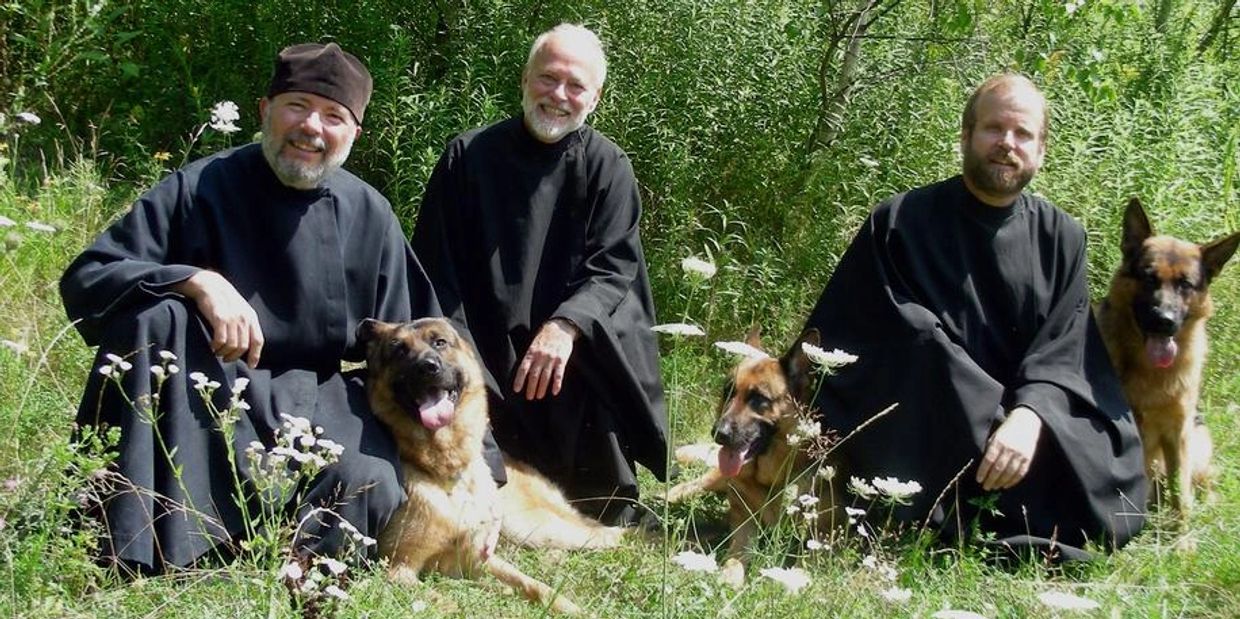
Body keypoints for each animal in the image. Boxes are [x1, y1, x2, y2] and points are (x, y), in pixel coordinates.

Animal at [359, 320, 629, 615]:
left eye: (440, 342)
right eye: (399, 350)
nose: (427, 367)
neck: (446, 471)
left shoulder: (478, 557)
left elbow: (535, 585)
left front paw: (571, 608)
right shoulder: (397, 569)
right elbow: (444, 603)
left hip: (537, 526)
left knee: (616, 535)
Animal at [664, 329, 838, 585]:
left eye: (759, 399)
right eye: (728, 392)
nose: (719, 433)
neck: (772, 480)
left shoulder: (824, 533)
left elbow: (809, 559)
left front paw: (794, 578)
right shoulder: (745, 522)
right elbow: (738, 554)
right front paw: (730, 576)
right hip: (716, 479)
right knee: (696, 484)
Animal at [1101, 198, 1235, 518]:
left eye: (1185, 284)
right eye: (1149, 278)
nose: (1164, 321)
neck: (1148, 370)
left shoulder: (1178, 431)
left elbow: (1180, 494)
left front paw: (1183, 532)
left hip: (1199, 440)